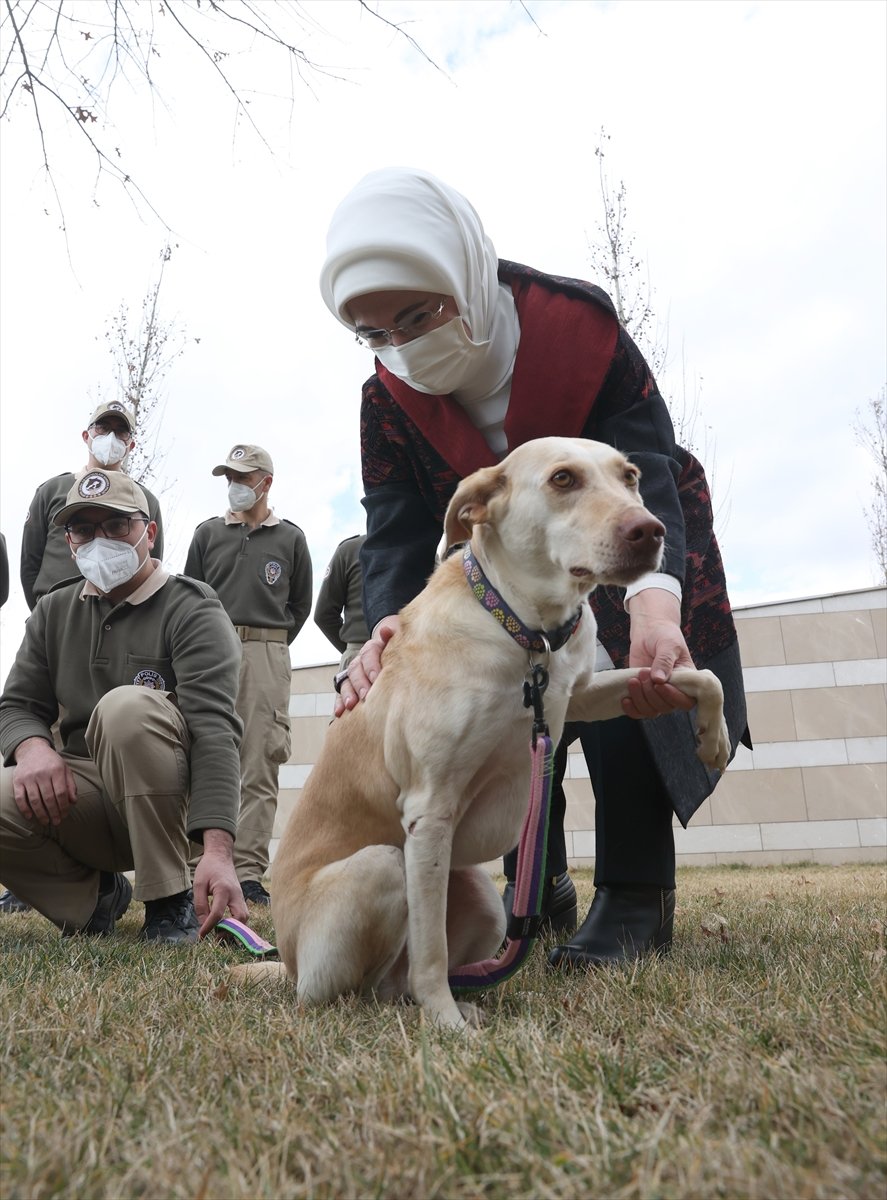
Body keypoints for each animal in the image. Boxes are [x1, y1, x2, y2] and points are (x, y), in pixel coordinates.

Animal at [236, 436, 729, 1027]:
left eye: (631, 476)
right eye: (563, 479)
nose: (651, 530)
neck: (527, 630)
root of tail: (286, 961)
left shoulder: (581, 694)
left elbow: (696, 675)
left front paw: (713, 738)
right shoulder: (430, 810)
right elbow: (430, 951)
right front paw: (447, 1025)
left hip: (482, 898)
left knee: (396, 981)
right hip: (384, 868)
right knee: (362, 988)